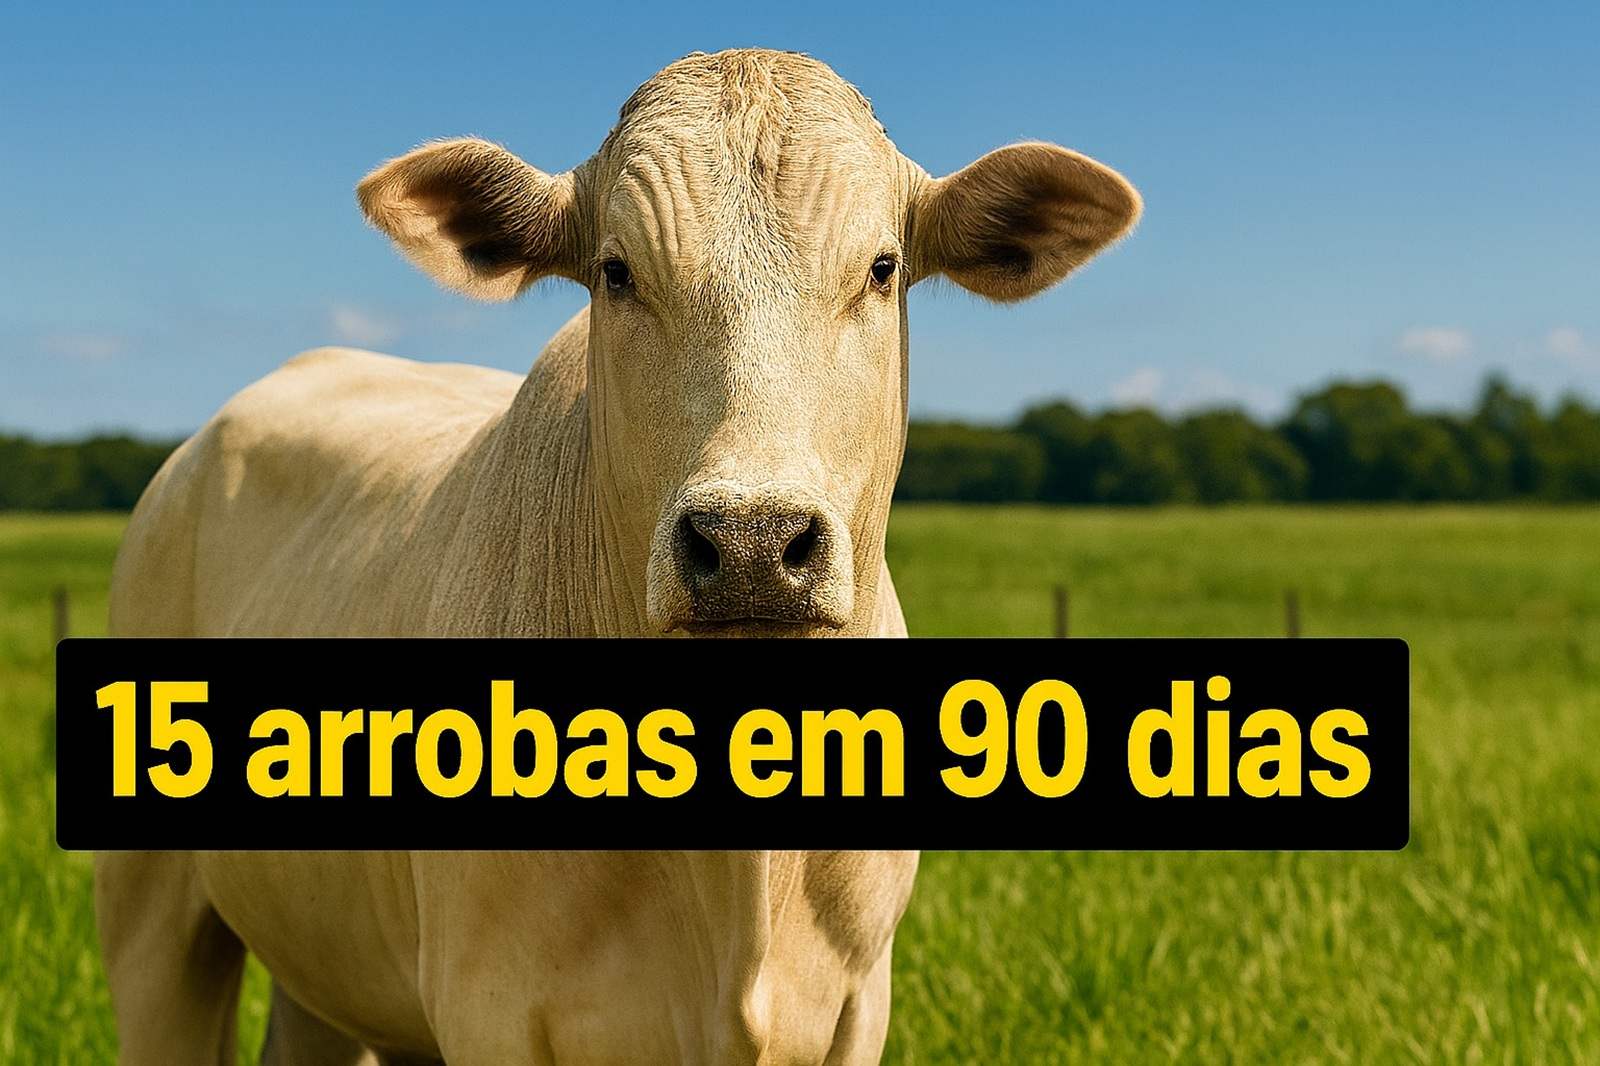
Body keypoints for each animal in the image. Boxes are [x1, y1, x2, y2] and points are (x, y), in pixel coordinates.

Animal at [97, 48, 1139, 1065]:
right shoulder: (487, 1007)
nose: (752, 543)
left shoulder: (858, 1004)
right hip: (150, 909)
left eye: (883, 268)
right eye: (616, 271)